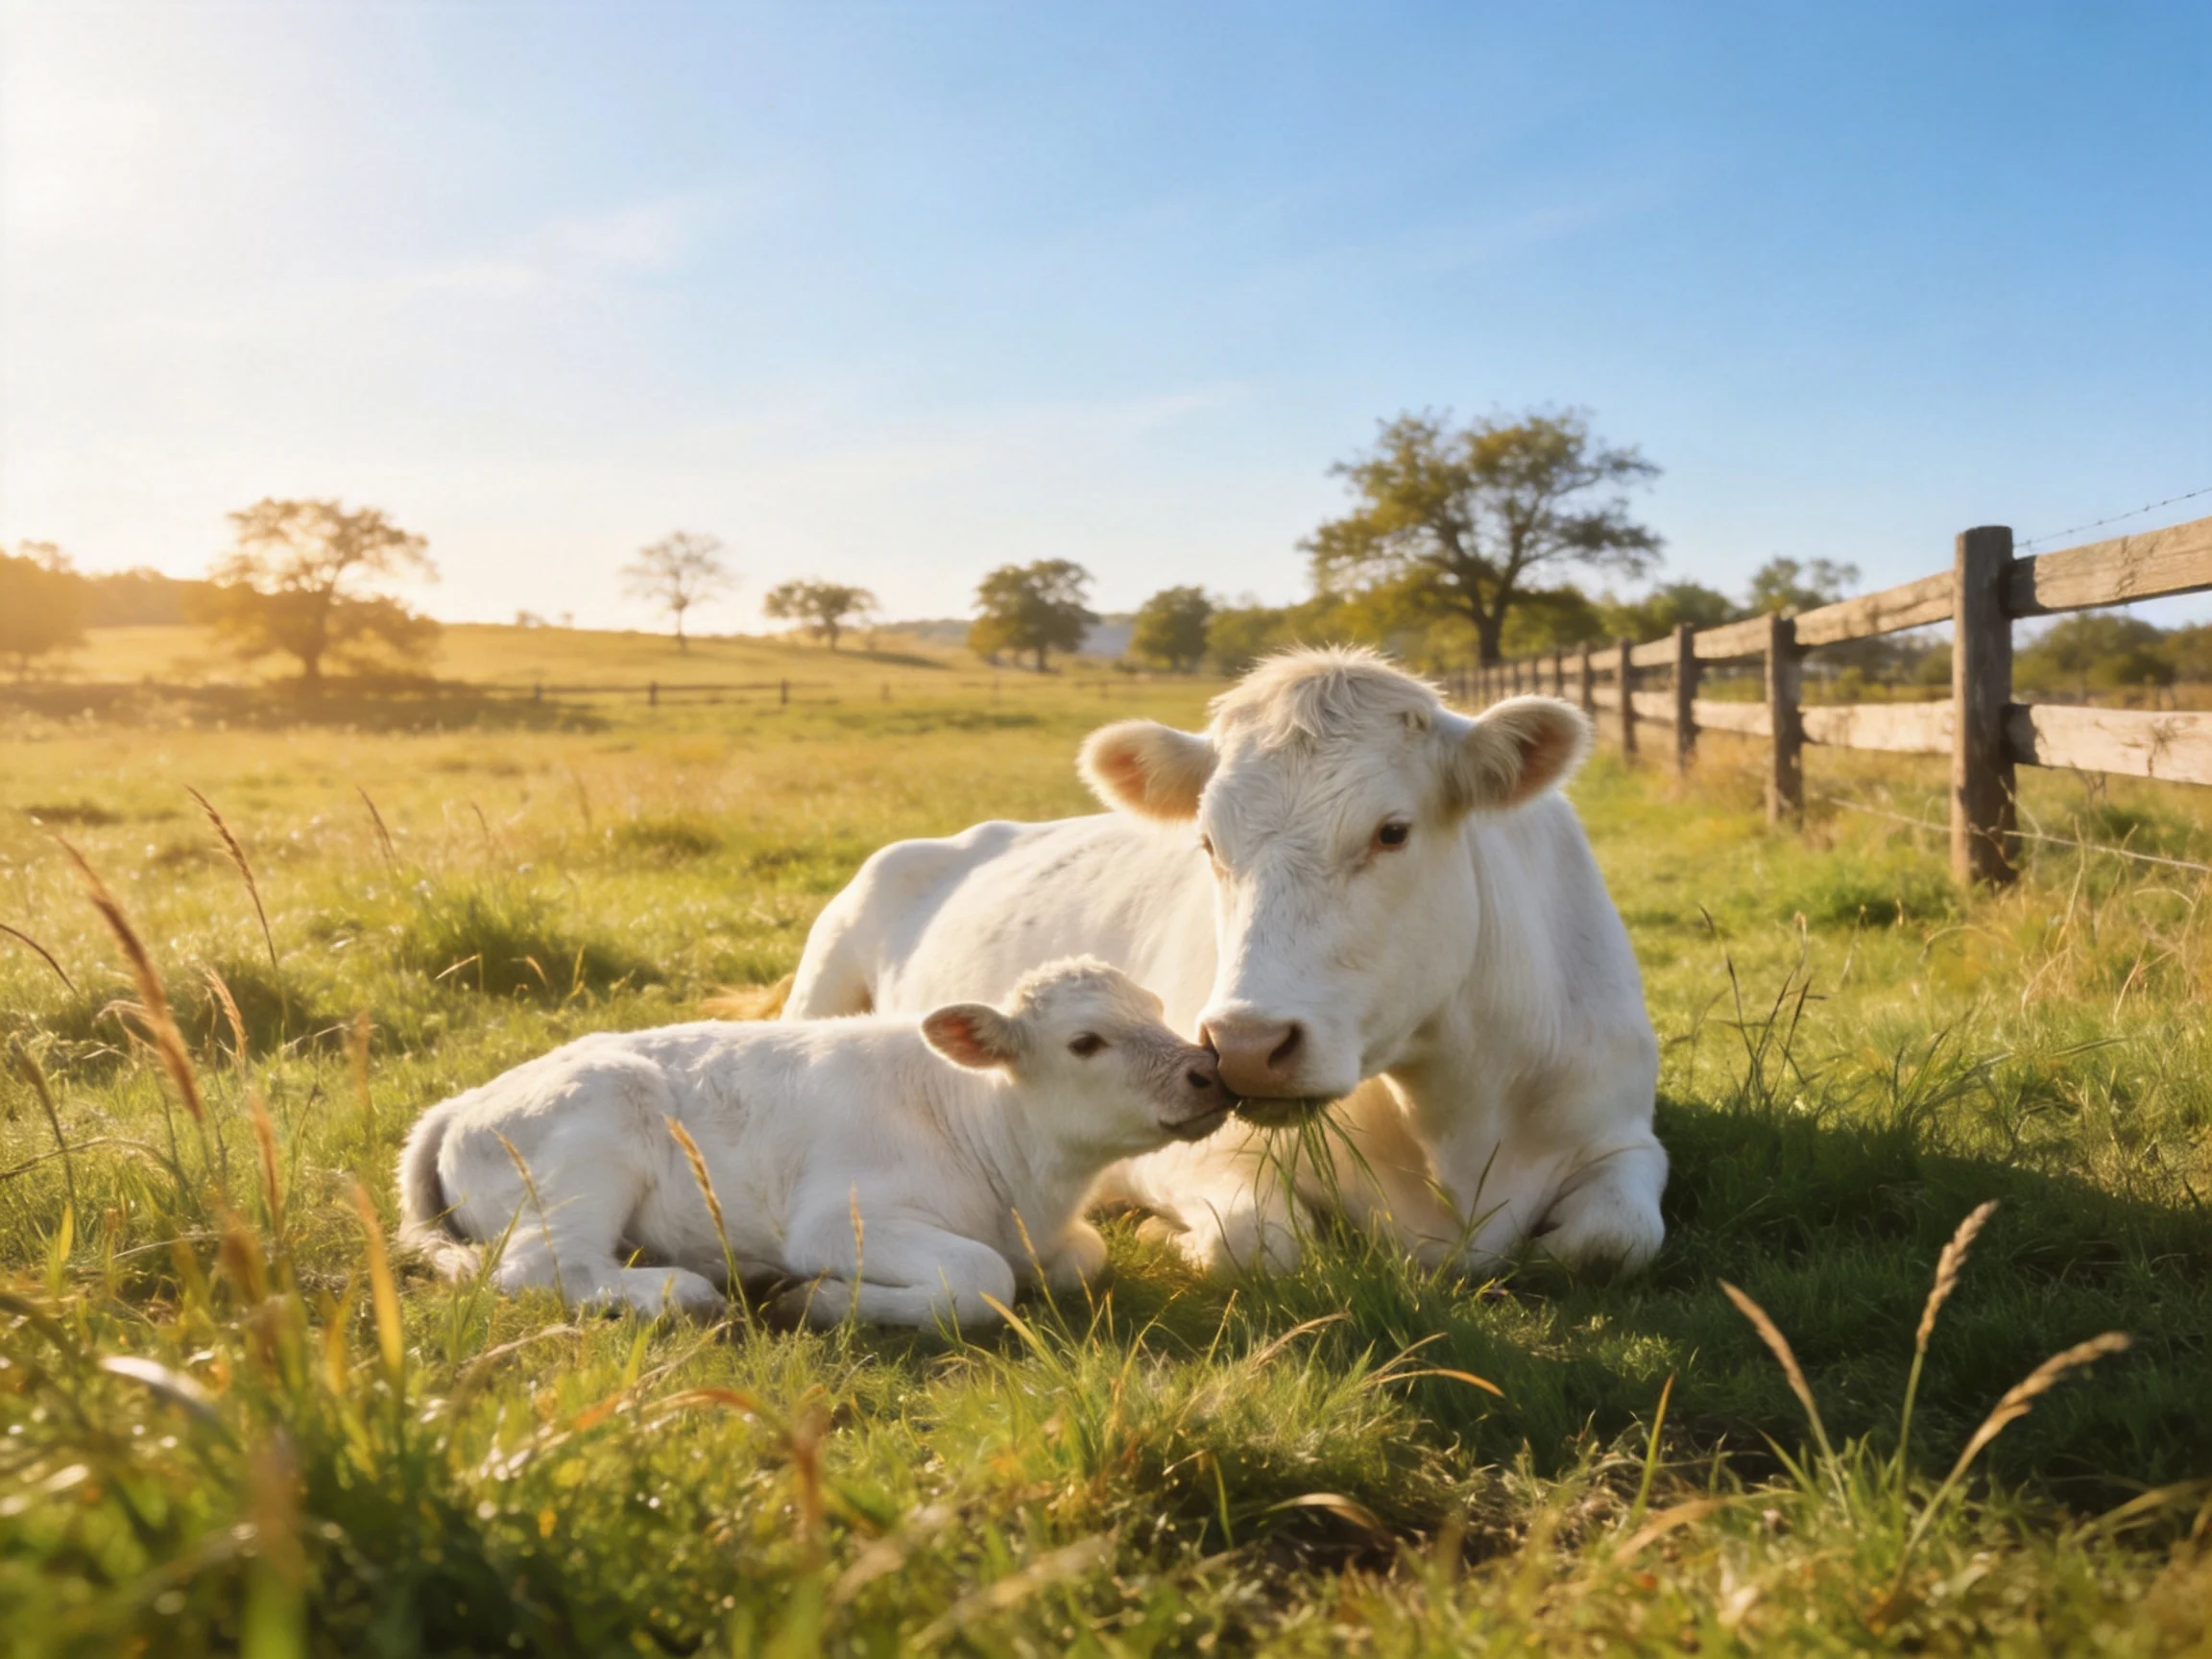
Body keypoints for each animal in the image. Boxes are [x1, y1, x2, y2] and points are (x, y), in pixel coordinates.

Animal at [396, 958, 1232, 1326]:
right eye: (1085, 1042)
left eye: (1157, 1011)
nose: (1210, 1071)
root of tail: (462, 1101)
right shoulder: (838, 1220)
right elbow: (984, 1278)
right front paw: (818, 1298)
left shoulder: (1059, 1238)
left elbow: (1082, 1259)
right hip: (592, 1143)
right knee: (538, 1266)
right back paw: (681, 1291)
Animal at [785, 647, 1664, 1279]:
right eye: (1208, 842)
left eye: (1392, 832)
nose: (1245, 1046)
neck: (1453, 1113)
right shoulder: (1190, 1153)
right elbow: (1253, 1243)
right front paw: (1155, 1233)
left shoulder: (1622, 1134)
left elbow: (1614, 1238)